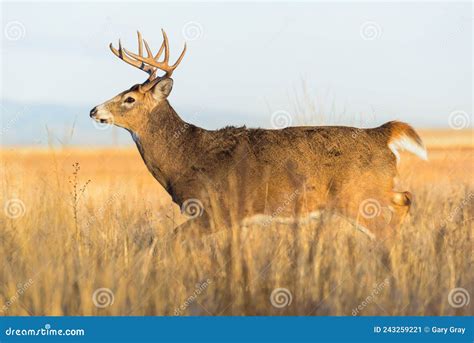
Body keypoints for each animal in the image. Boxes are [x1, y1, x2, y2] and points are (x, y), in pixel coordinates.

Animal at [89, 30, 426, 242]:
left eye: (129, 99)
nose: (94, 110)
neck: (185, 155)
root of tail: (381, 134)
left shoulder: (218, 210)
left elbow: (166, 244)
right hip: (374, 189)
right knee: (405, 198)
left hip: (357, 196)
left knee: (388, 227)